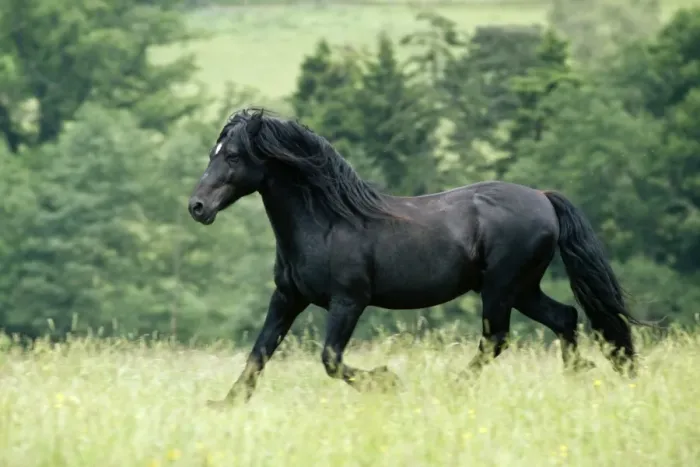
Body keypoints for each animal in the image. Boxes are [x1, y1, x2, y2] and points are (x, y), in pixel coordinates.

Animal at [187, 108, 646, 406]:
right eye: (213, 153)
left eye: (233, 155)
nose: (197, 207)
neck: (326, 222)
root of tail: (543, 197)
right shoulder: (287, 298)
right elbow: (259, 351)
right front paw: (227, 403)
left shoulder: (348, 301)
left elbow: (331, 360)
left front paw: (387, 382)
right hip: (523, 289)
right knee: (564, 318)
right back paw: (578, 376)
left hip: (502, 287)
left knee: (496, 338)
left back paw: (453, 387)